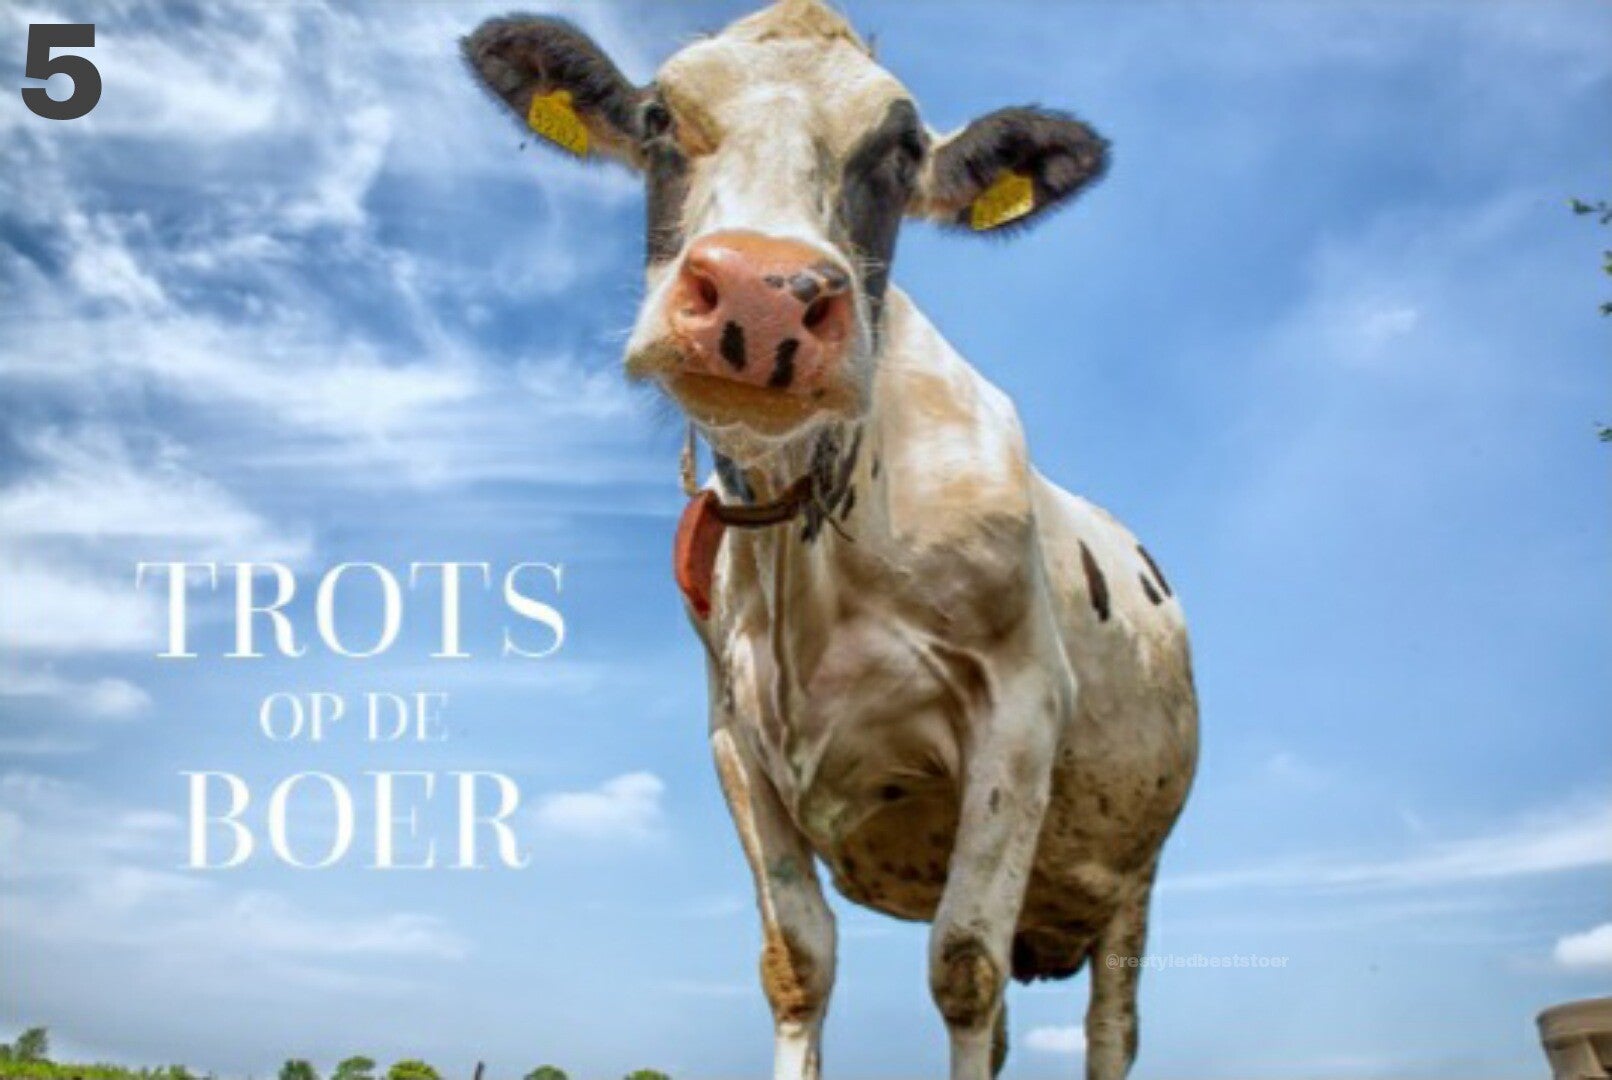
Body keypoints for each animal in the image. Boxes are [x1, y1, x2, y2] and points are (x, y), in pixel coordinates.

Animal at [463, 3, 1198, 1077]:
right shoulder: (736, 740)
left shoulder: (1020, 711)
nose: (761, 295)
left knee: (1112, 1026)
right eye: (656, 116)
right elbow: (798, 964)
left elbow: (964, 966)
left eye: (900, 151)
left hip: (1133, 874)